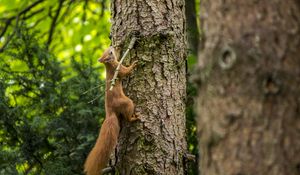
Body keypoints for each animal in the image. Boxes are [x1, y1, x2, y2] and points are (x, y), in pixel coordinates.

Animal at [84, 46, 139, 175]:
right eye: (110, 53)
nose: (112, 46)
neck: (108, 65)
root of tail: (109, 113)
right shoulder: (118, 67)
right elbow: (125, 72)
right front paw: (133, 65)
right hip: (127, 102)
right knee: (128, 117)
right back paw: (134, 118)